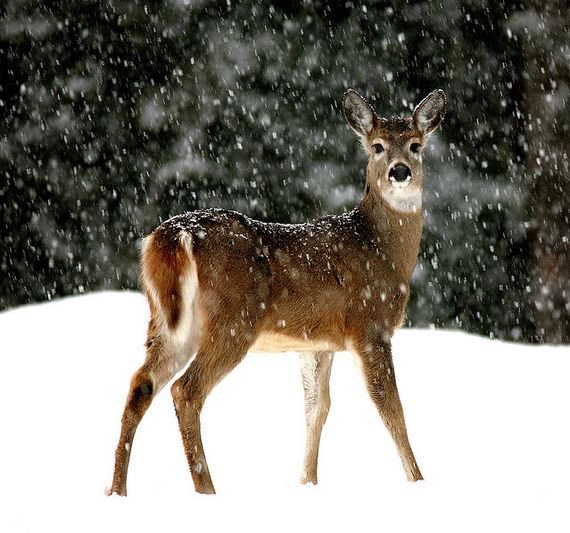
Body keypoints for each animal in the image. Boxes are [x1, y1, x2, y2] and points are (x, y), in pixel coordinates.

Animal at [106, 87, 444, 494]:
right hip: (234, 318)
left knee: (142, 383)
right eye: (377, 146)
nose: (400, 170)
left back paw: (117, 490)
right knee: (185, 390)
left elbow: (317, 408)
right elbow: (390, 407)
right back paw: (207, 489)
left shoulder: (317, 342)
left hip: (167, 319)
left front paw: (307, 482)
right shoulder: (369, 325)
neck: (381, 248)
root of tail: (175, 234)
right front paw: (419, 481)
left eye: (415, 145)